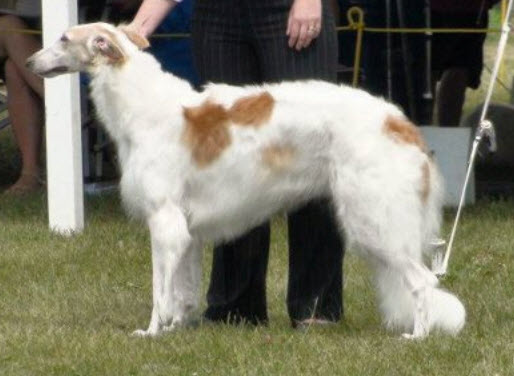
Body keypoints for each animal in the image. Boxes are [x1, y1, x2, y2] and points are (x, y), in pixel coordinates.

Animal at [27, 23, 464, 340]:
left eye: (63, 38)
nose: (30, 62)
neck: (143, 105)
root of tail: (401, 123)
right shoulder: (186, 232)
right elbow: (182, 292)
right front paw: (176, 329)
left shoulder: (164, 222)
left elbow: (159, 292)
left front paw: (150, 333)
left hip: (373, 220)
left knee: (423, 280)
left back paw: (418, 336)